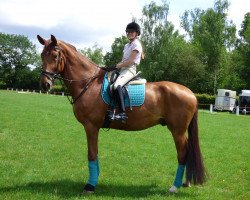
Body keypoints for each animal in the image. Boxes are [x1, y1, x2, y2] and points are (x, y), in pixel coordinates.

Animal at [36, 34, 205, 194]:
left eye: (55, 56)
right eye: (42, 55)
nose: (45, 84)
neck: (88, 83)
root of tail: (191, 93)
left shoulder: (91, 126)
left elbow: (92, 154)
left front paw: (89, 186)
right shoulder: (93, 127)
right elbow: (95, 154)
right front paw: (95, 181)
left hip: (177, 130)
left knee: (183, 154)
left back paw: (174, 187)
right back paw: (186, 182)